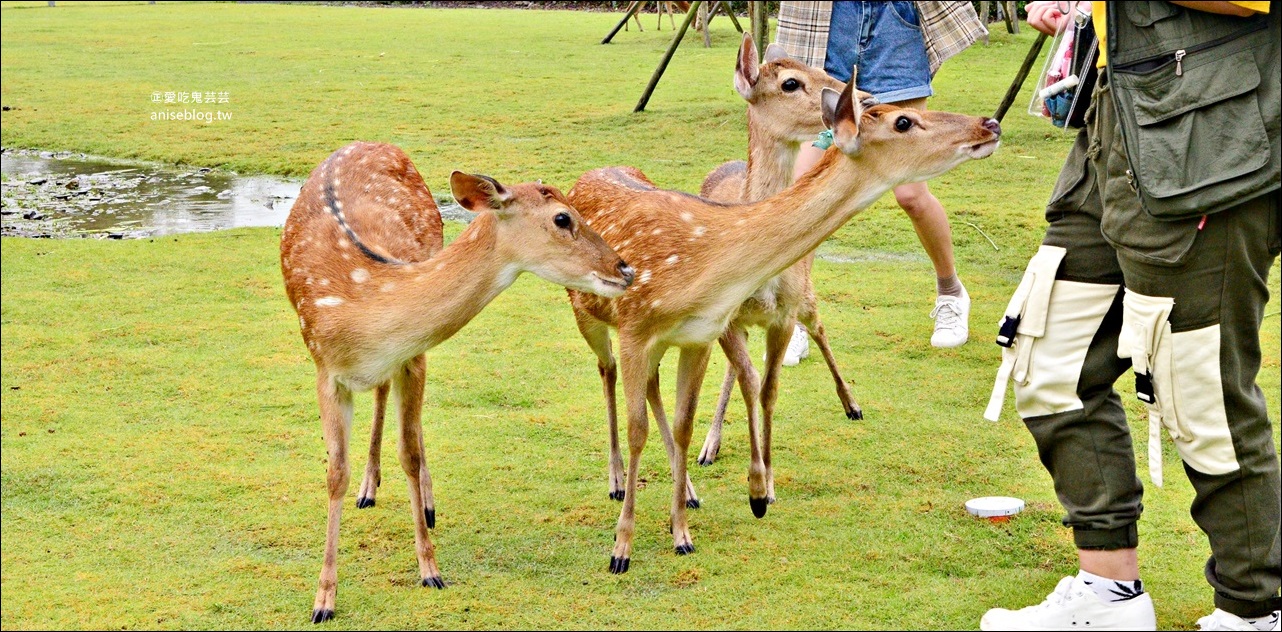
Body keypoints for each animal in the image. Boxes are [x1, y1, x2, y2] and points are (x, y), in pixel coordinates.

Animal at [284, 140, 635, 617]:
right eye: (563, 218)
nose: (625, 270)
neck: (367, 304)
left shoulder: (411, 357)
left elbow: (410, 455)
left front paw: (430, 569)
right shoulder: (325, 368)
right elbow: (335, 473)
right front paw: (324, 599)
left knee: (396, 411)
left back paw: (418, 501)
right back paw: (368, 488)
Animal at [569, 70, 999, 571]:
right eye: (903, 122)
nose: (989, 123)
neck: (705, 268)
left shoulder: (699, 335)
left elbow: (685, 422)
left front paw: (684, 532)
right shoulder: (637, 328)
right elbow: (639, 428)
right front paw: (621, 549)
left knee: (652, 389)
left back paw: (689, 491)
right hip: (588, 316)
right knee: (607, 371)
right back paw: (617, 482)